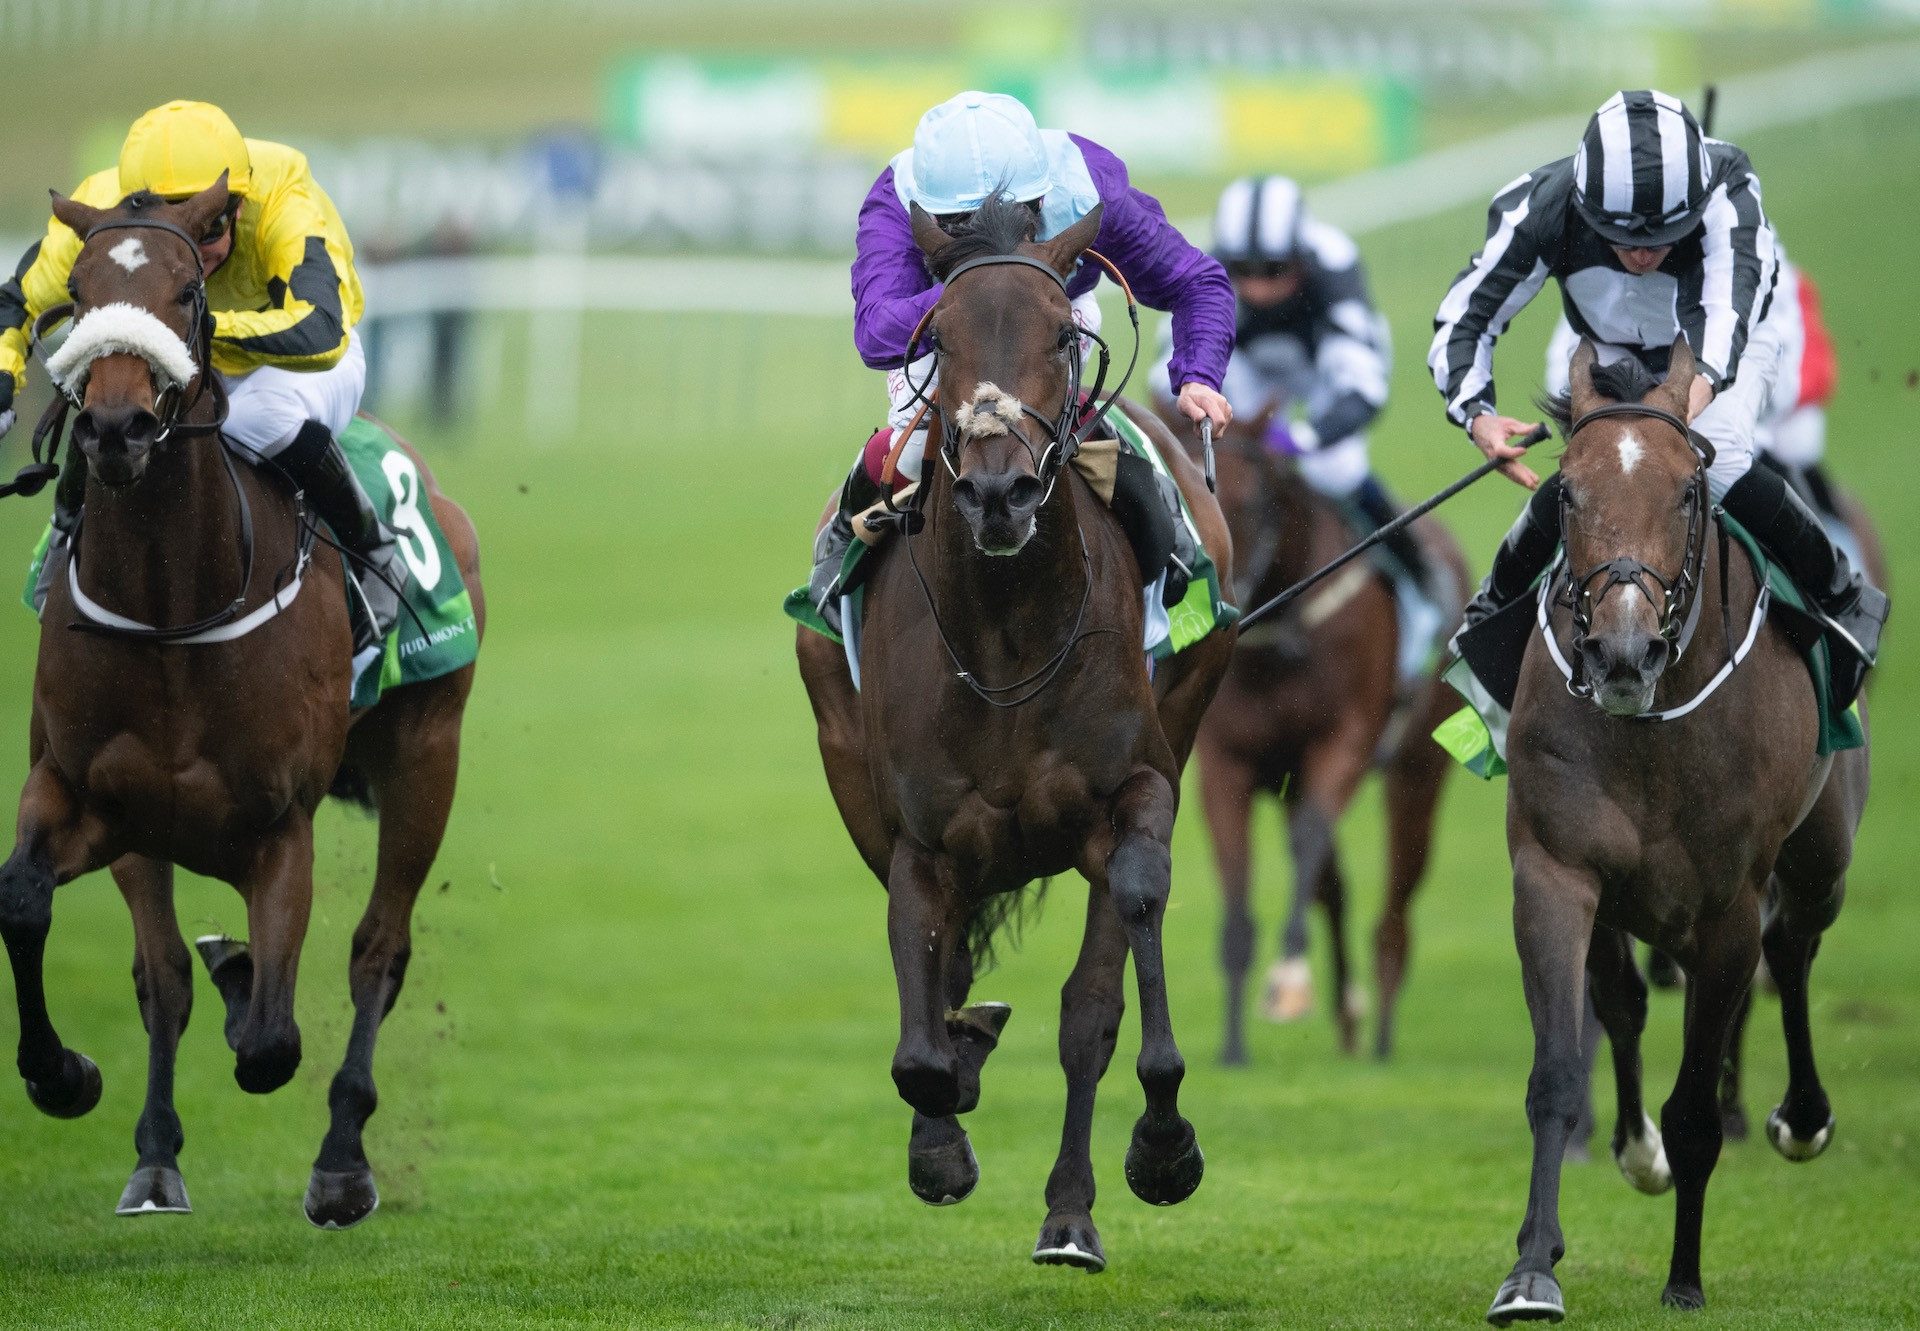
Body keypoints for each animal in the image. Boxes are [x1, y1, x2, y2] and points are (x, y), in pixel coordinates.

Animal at [0, 181, 480, 1229]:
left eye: (186, 292)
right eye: (79, 293)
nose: (113, 429)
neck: (171, 604)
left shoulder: (278, 823)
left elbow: (270, 1042)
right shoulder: (92, 796)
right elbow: (39, 909)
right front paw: (71, 1079)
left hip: (428, 755)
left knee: (378, 949)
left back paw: (342, 1162)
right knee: (171, 974)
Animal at [794, 194, 1228, 1267]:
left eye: (1063, 334)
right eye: (936, 338)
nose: (999, 492)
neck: (1005, 640)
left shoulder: (1137, 787)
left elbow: (1108, 987)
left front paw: (1161, 1147)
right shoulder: (919, 835)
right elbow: (920, 1037)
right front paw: (941, 1136)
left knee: (1088, 1006)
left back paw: (1071, 1209)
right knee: (947, 978)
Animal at [1175, 414, 1459, 1060]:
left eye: (1258, 500)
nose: (1219, 600)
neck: (1281, 637)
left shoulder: (1343, 743)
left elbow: (1308, 842)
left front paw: (1287, 982)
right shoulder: (1226, 764)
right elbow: (1239, 897)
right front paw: (1233, 1049)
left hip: (1418, 772)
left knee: (1394, 911)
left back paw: (1379, 1040)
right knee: (1334, 886)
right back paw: (1349, 1014)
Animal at [1489, 334, 1866, 1321]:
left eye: (1688, 492)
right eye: (1566, 491)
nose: (1624, 651)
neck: (1650, 731)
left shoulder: (1727, 908)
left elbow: (1697, 1107)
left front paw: (1685, 1278)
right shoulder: (1555, 872)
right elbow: (1556, 1074)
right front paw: (1532, 1269)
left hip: (1822, 859)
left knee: (1794, 946)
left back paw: (1802, 1117)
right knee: (1623, 1000)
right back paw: (1636, 1149)